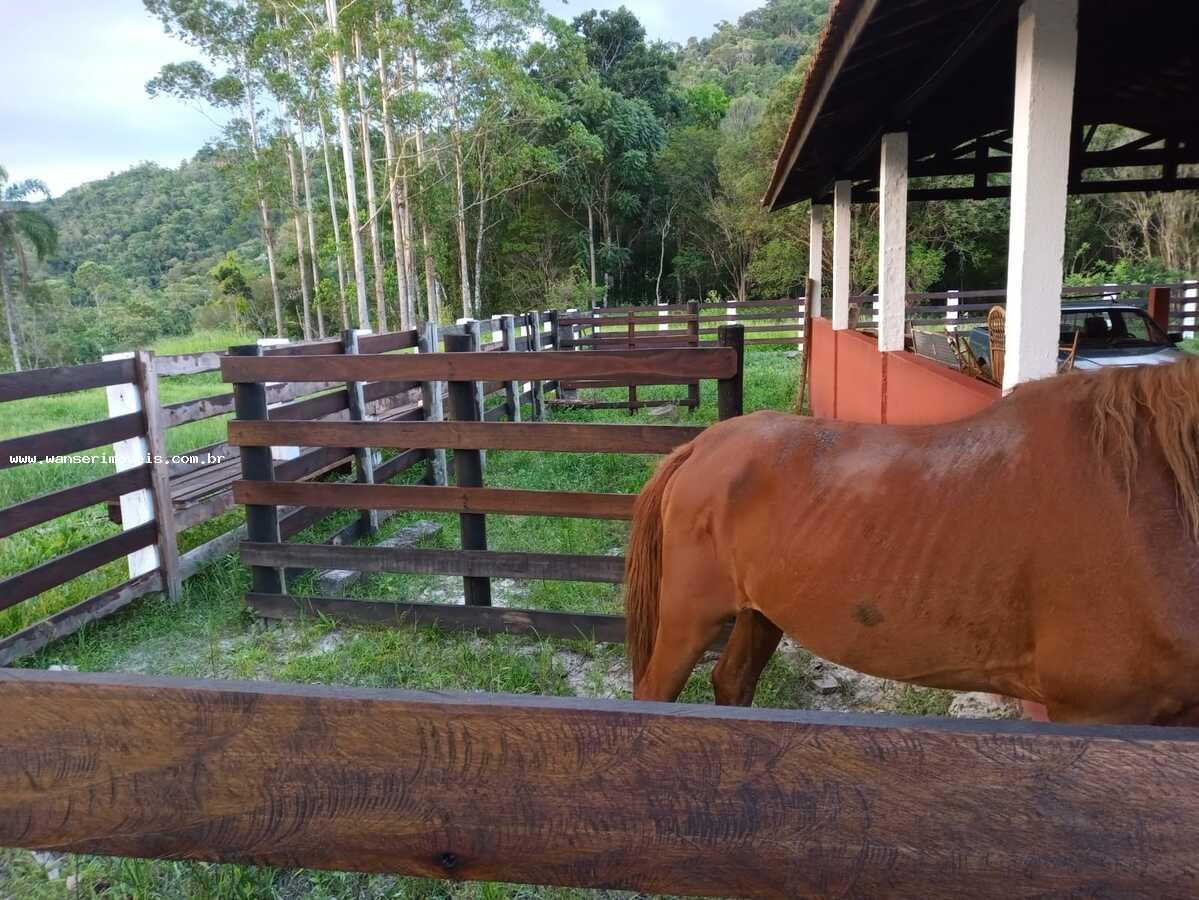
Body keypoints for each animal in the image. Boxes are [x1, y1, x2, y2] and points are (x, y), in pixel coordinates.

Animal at [628, 357, 1199, 723]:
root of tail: (701, 446)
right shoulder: (1096, 711)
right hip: (690, 618)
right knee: (654, 694)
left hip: (761, 614)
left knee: (733, 683)